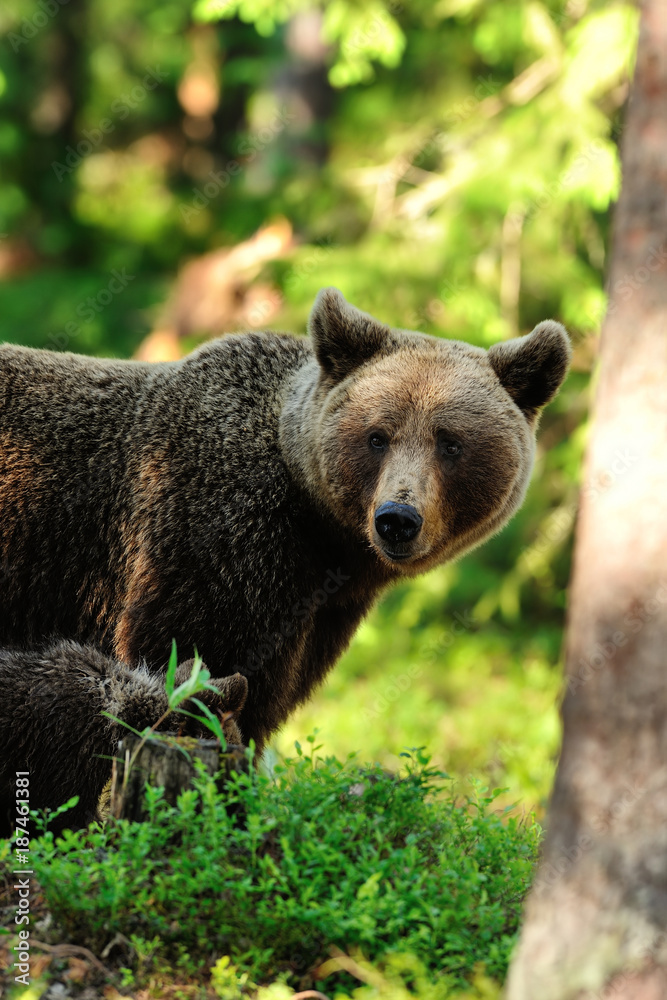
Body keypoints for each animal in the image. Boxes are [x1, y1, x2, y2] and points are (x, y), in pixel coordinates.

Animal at [0, 288, 570, 756]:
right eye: (378, 436)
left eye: (450, 442)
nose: (397, 519)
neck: (323, 536)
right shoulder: (215, 534)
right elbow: (193, 660)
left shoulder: (322, 611)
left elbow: (265, 700)